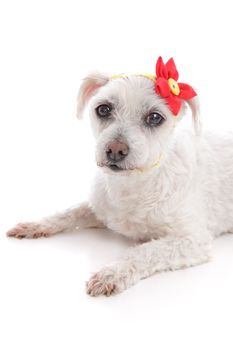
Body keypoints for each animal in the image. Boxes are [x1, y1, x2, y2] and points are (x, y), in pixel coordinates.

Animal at [6, 56, 232, 296]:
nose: (115, 149)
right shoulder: (99, 209)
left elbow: (144, 251)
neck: (134, 183)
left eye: (155, 117)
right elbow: (69, 213)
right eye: (103, 109)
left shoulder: (192, 240)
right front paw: (35, 225)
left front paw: (112, 273)